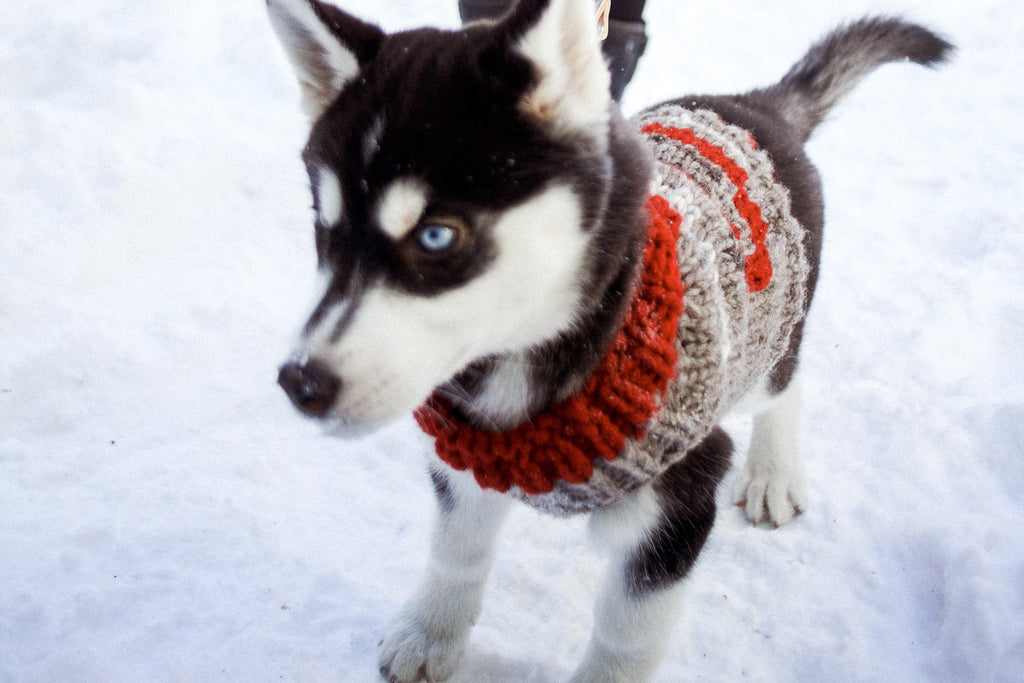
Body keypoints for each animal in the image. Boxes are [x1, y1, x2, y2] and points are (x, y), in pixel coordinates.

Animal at [266, 2, 950, 679]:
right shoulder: (463, 462)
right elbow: (457, 551)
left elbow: (626, 637)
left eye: (437, 235)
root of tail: (753, 106)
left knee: (787, 380)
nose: (300, 382)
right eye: (325, 227)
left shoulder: (680, 498)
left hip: (763, 348)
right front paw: (431, 633)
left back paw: (773, 473)